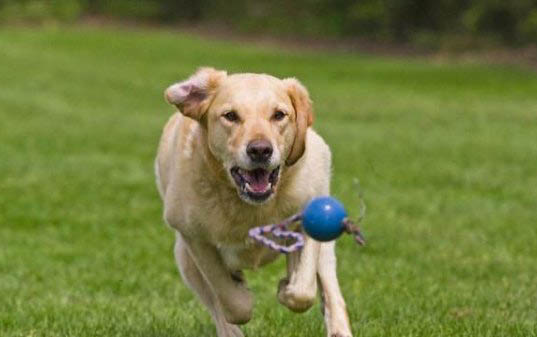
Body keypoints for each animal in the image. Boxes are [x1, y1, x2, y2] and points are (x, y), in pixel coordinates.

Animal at [154, 67, 352, 334]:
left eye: (279, 115)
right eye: (230, 116)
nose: (260, 150)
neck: (252, 208)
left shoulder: (312, 213)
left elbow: (303, 290)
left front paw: (287, 286)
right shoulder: (193, 238)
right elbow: (229, 299)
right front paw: (242, 295)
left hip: (328, 245)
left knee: (330, 291)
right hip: (185, 261)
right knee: (216, 305)